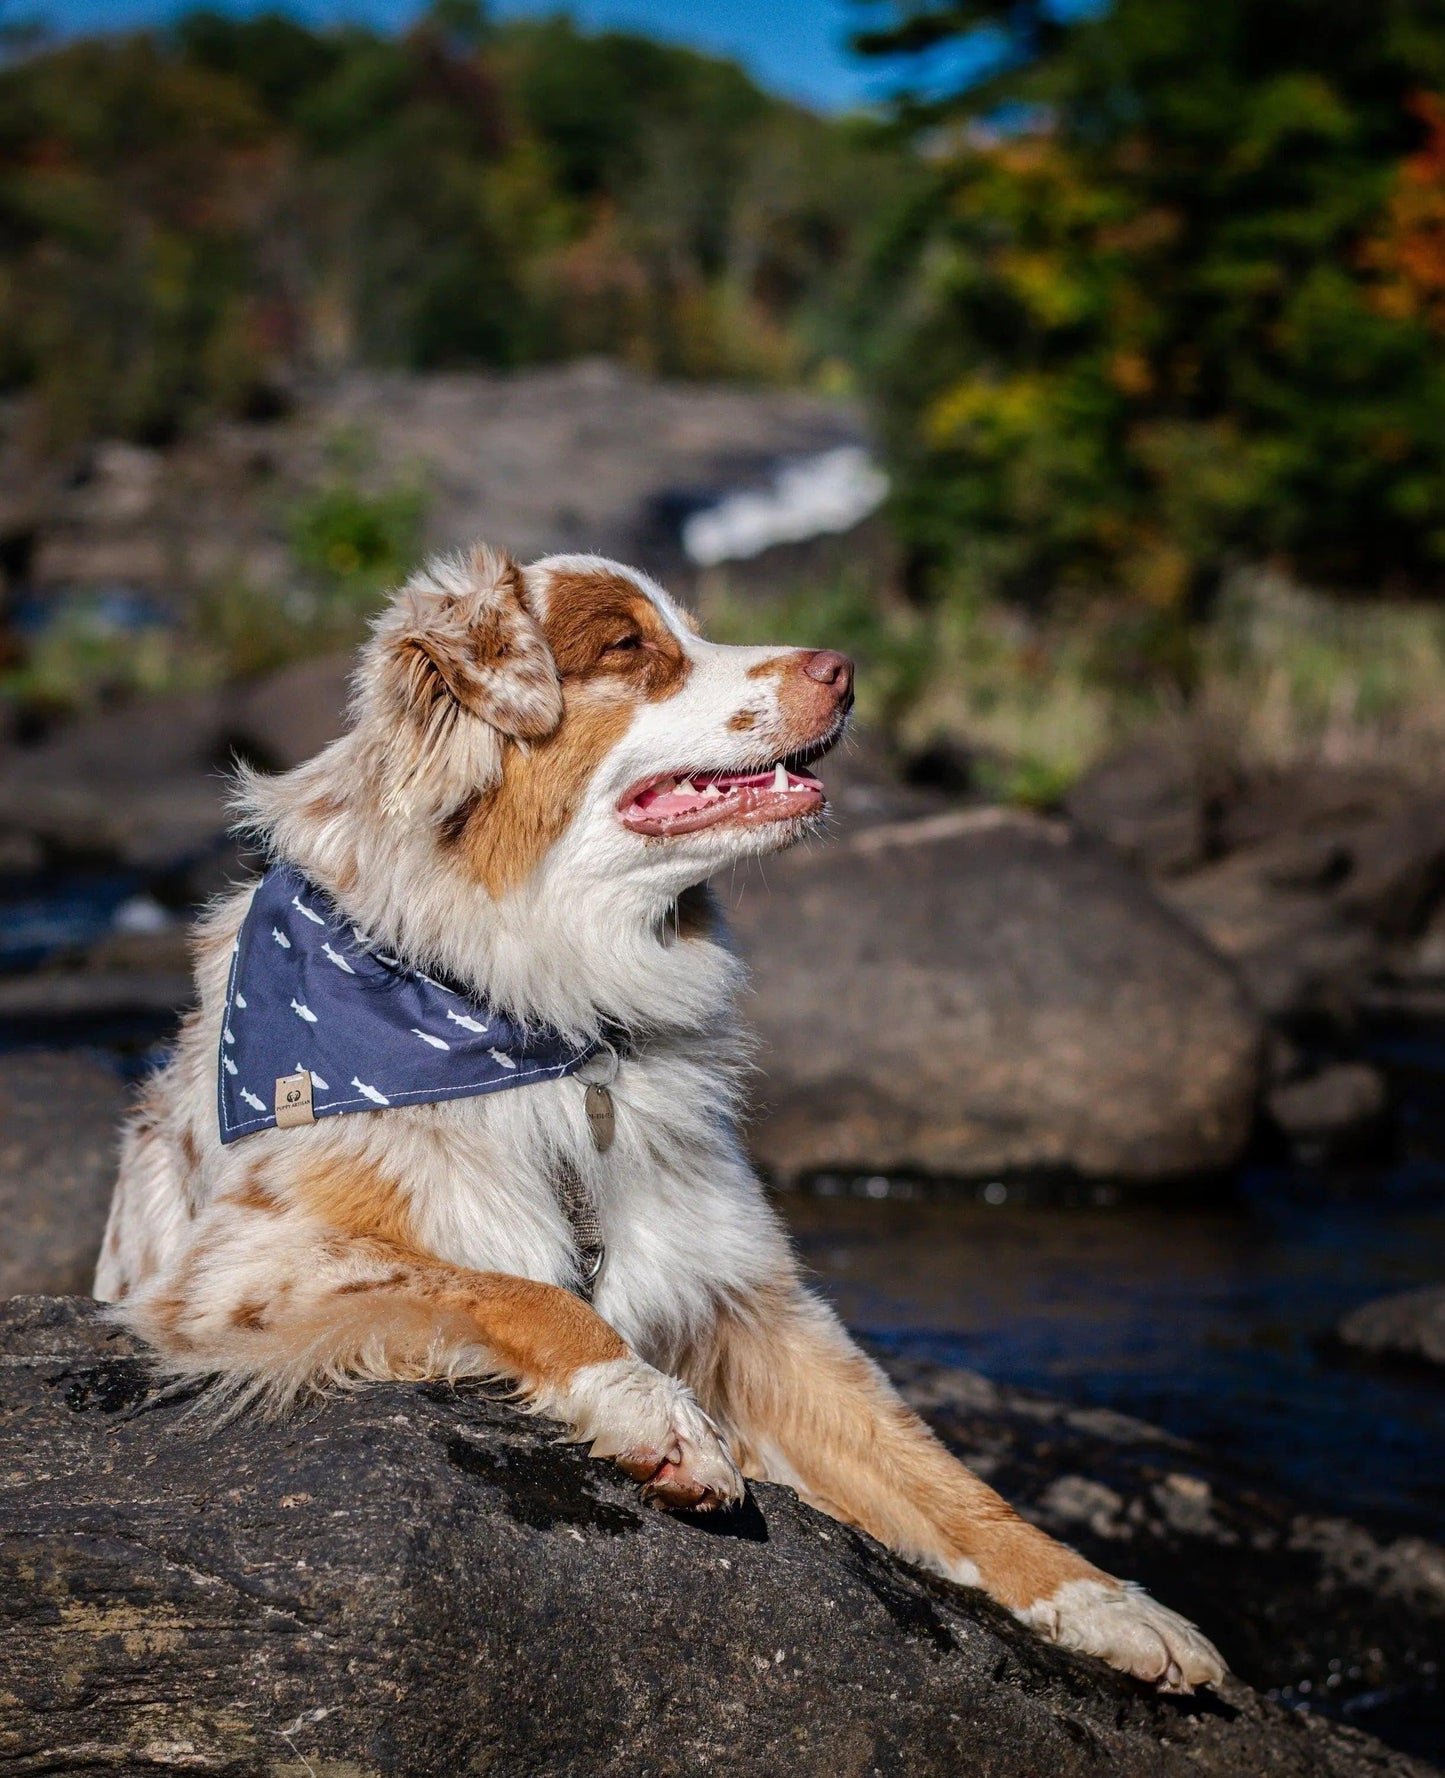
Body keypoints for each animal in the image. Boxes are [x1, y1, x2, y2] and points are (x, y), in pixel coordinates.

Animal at [92, 544, 1215, 1692]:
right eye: (631, 647)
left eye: (695, 626)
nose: (844, 667)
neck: (555, 1024)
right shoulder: (241, 1267)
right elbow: (522, 1290)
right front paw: (651, 1408)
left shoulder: (752, 1303)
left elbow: (929, 1466)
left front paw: (1105, 1601)